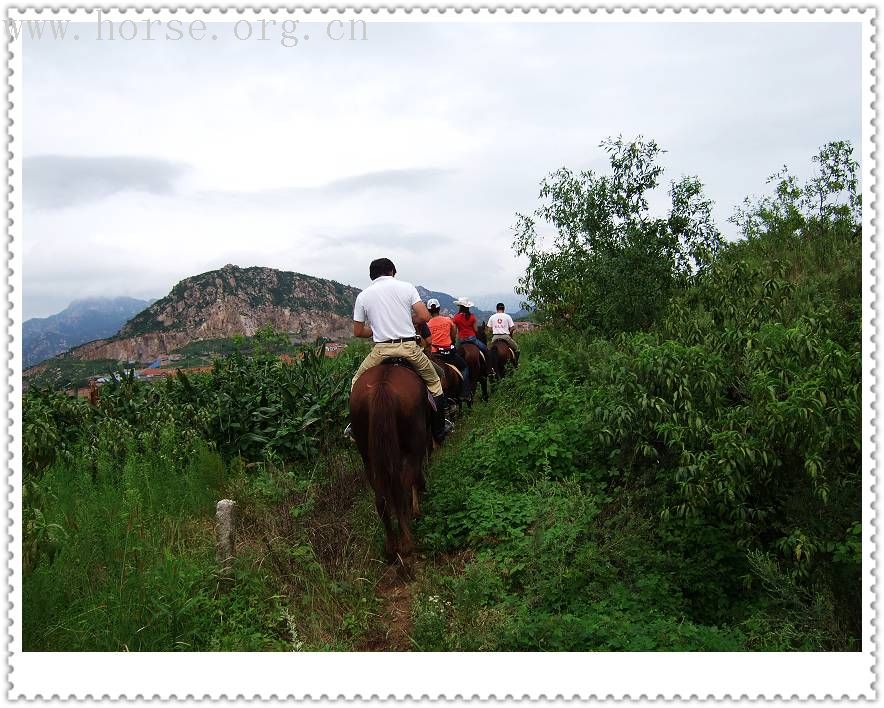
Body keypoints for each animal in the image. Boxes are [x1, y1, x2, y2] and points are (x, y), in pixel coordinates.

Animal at [348, 362, 432, 568]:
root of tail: (382, 387)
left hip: (367, 454)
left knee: (383, 499)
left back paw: (391, 548)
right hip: (413, 443)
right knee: (402, 487)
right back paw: (407, 543)